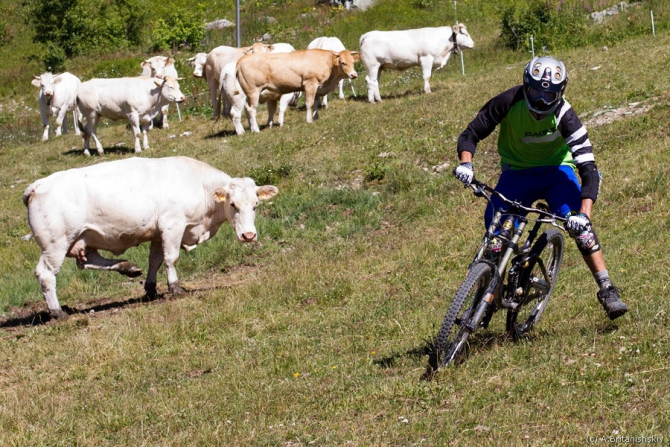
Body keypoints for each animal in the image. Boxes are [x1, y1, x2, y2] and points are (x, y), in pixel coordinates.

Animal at [20, 157, 278, 318]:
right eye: (233, 205)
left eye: (255, 205)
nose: (248, 235)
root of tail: (38, 185)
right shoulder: (173, 225)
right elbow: (171, 258)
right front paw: (175, 288)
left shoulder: (157, 233)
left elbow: (155, 260)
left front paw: (151, 289)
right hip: (55, 244)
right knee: (46, 275)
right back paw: (57, 312)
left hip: (83, 239)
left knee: (89, 260)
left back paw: (128, 267)